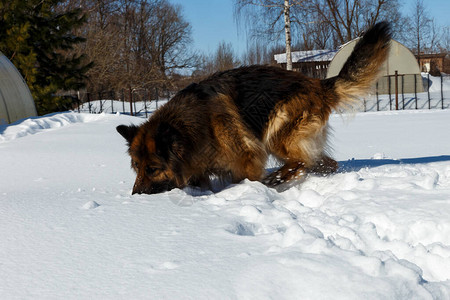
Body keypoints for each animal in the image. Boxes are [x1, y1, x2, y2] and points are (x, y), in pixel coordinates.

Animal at [117, 21, 390, 195]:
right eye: (136, 167)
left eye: (152, 168)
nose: (135, 195)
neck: (191, 129)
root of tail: (319, 84)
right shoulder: (198, 169)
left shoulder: (247, 158)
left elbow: (242, 178)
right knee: (324, 163)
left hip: (277, 135)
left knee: (300, 161)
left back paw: (276, 179)